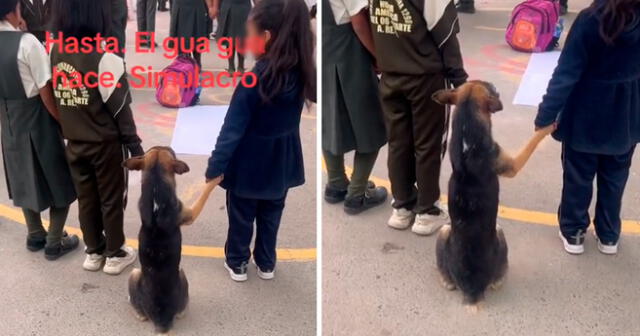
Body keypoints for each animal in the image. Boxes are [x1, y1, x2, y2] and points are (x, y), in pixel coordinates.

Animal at [124, 147, 221, 334]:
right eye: (170, 152)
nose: (170, 147)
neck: (155, 181)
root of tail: (162, 321)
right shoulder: (189, 213)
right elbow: (205, 191)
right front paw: (217, 178)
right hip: (162, 274)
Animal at [432, 81, 556, 312]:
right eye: (490, 88)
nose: (496, 87)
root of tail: (473, 292)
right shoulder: (512, 165)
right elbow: (532, 141)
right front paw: (546, 128)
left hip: (445, 233)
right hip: (497, 231)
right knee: (496, 281)